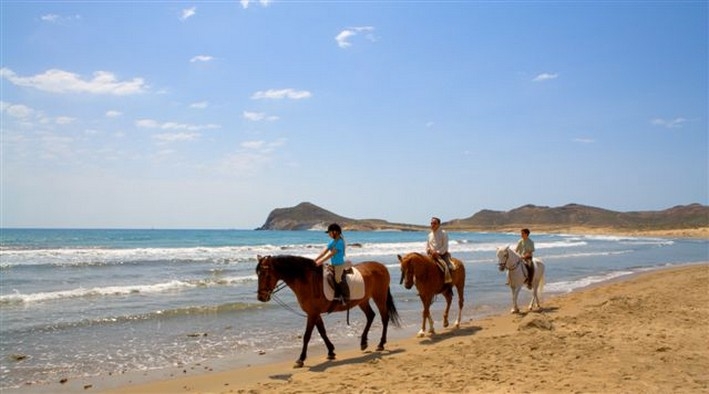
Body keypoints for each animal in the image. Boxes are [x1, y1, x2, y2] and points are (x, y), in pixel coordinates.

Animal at [256, 254, 402, 368]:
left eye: (265, 274)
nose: (261, 297)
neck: (308, 281)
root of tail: (381, 266)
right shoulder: (314, 313)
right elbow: (322, 332)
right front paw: (331, 351)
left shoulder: (312, 314)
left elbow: (307, 336)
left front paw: (301, 359)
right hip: (363, 300)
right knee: (371, 316)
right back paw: (363, 342)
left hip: (379, 297)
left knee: (384, 317)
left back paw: (381, 344)